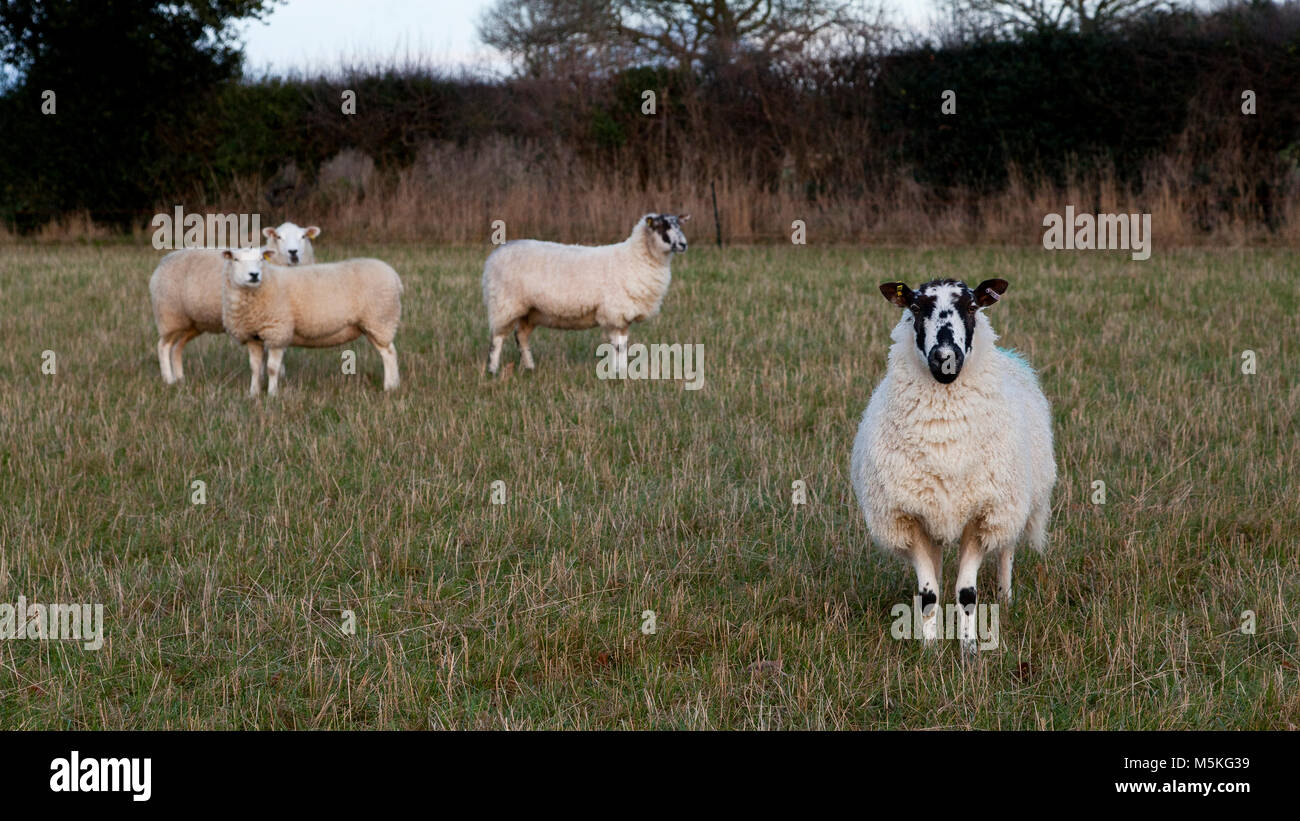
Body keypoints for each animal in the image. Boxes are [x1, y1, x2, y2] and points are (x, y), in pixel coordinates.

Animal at [145, 219, 319, 384]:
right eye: (278, 237)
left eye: (303, 236)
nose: (293, 252)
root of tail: (163, 261)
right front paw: (268, 376)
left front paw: (275, 376)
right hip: (169, 315)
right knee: (163, 346)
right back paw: (169, 380)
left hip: (192, 322)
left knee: (177, 347)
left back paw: (180, 379)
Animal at [219, 246, 400, 394]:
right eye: (236, 259)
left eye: (261, 259)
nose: (254, 275)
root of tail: (394, 275)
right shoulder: (252, 336)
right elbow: (255, 368)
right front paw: (253, 393)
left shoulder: (278, 331)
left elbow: (272, 368)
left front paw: (272, 394)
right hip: (372, 324)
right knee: (387, 353)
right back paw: (393, 385)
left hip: (381, 319)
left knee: (389, 353)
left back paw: (389, 387)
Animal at [480, 213, 691, 376]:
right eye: (661, 226)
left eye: (678, 225)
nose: (683, 244)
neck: (635, 258)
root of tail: (494, 255)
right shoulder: (614, 312)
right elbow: (619, 346)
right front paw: (618, 373)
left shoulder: (622, 316)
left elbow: (624, 344)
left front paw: (622, 371)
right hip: (504, 304)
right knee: (497, 338)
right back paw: (493, 370)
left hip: (530, 310)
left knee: (521, 336)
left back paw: (530, 367)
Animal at [852, 279, 1055, 652]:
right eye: (916, 308)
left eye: (973, 306)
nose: (944, 357)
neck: (945, 438)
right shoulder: (909, 517)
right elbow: (928, 594)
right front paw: (929, 649)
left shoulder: (982, 514)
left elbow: (968, 593)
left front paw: (969, 648)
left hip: (1012, 502)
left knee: (1006, 550)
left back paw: (1006, 596)